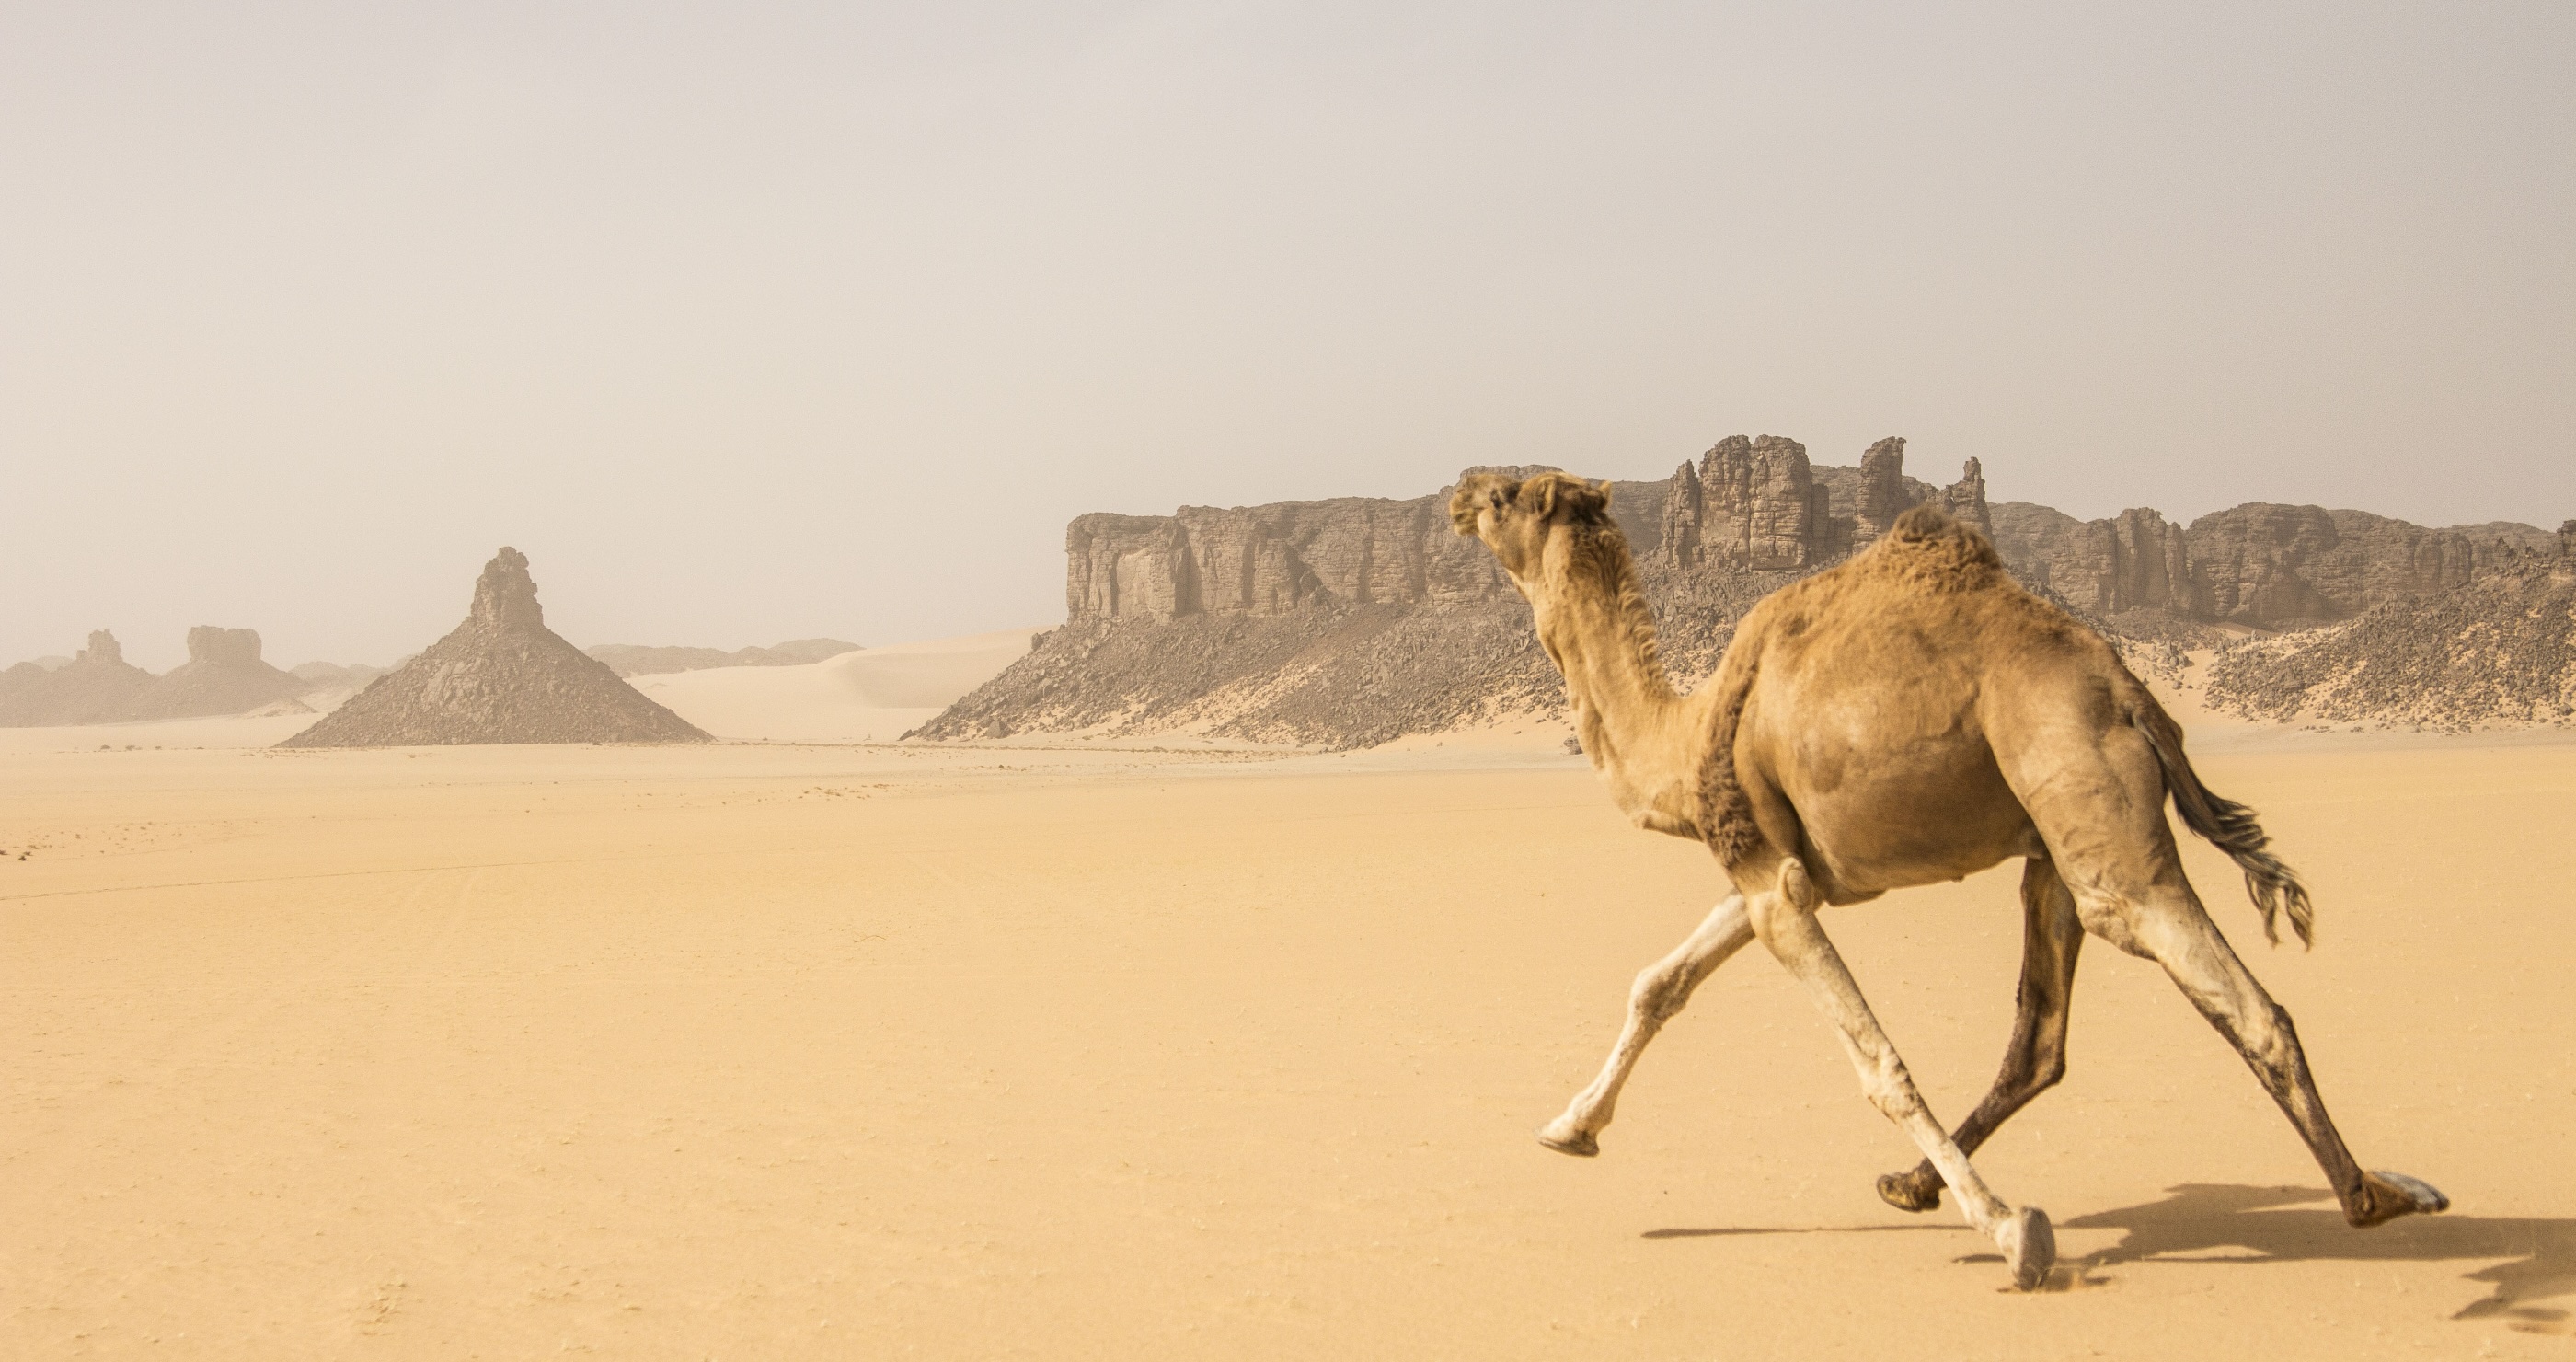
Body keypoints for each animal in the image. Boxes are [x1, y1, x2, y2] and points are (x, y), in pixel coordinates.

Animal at [1447, 469, 2447, 1291]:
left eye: (1505, 494)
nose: (1457, 491)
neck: (1685, 738)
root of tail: (2133, 694)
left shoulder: (1771, 881)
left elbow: (1878, 1063)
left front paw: (2013, 1232)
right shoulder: (1776, 871)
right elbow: (1661, 982)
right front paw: (1569, 1127)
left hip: (2090, 812)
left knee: (2245, 1003)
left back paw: (2372, 1196)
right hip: (2049, 844)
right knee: (2040, 1037)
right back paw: (1910, 1183)